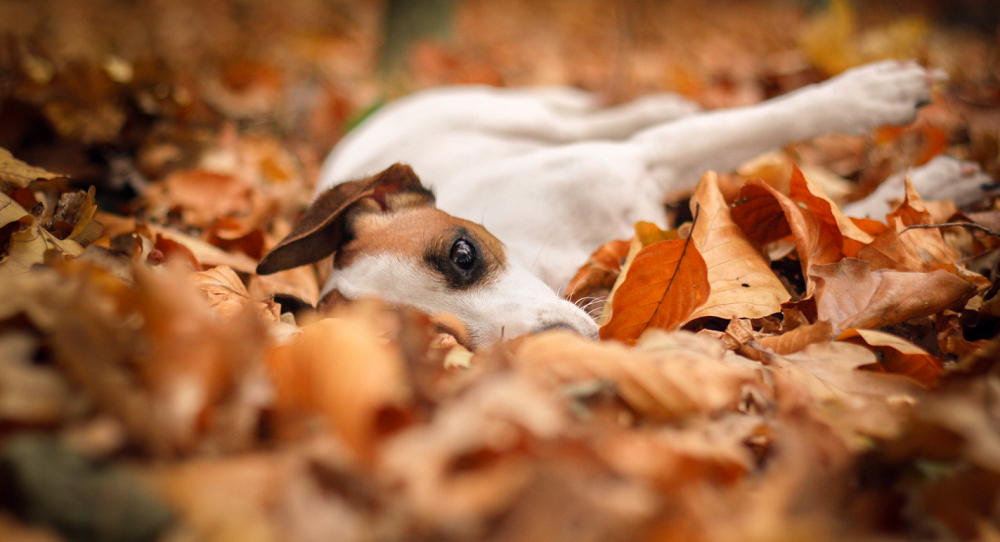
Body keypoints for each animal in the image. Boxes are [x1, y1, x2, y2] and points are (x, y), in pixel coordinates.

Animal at [258, 61, 992, 350]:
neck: (554, 255)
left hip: (526, 118)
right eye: (440, 343)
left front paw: (870, 96)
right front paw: (922, 201)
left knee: (598, 115)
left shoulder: (637, 160)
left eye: (462, 254)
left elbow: (756, 123)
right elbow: (812, 230)